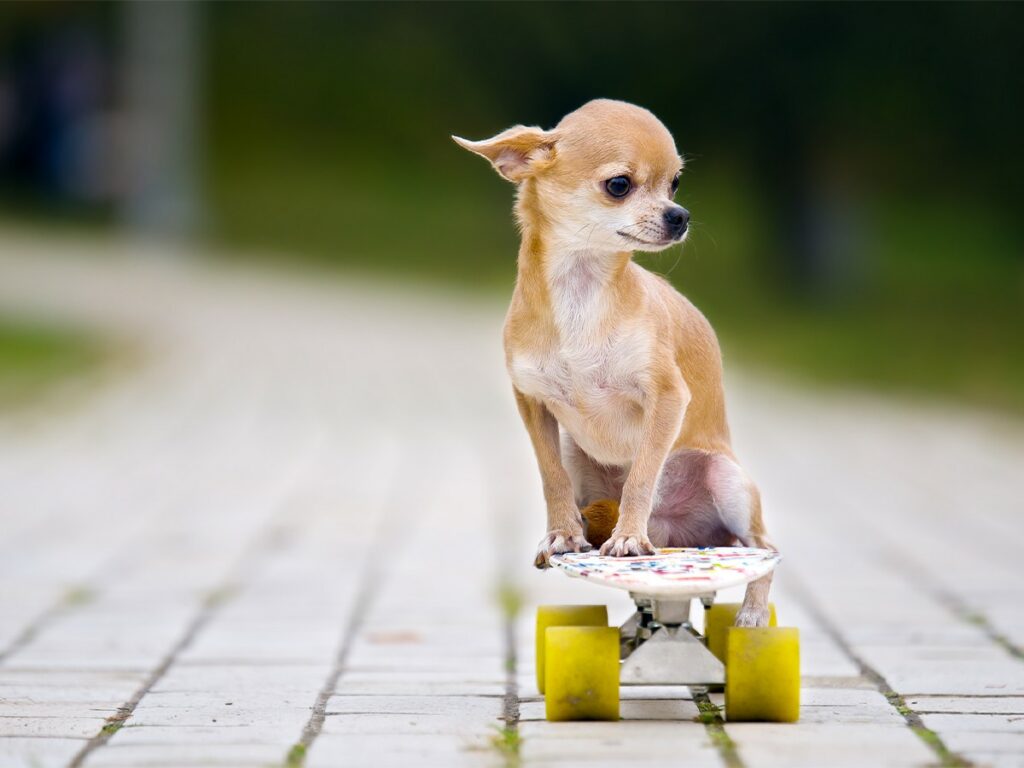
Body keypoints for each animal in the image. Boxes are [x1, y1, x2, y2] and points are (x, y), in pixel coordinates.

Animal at [452, 99, 770, 626]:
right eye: (619, 185)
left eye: (675, 183)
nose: (680, 215)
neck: (582, 292)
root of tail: (680, 535)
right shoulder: (533, 404)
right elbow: (551, 478)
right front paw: (562, 533)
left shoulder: (667, 398)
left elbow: (641, 477)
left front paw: (627, 538)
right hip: (579, 456)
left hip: (727, 483)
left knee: (763, 549)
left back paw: (752, 614)